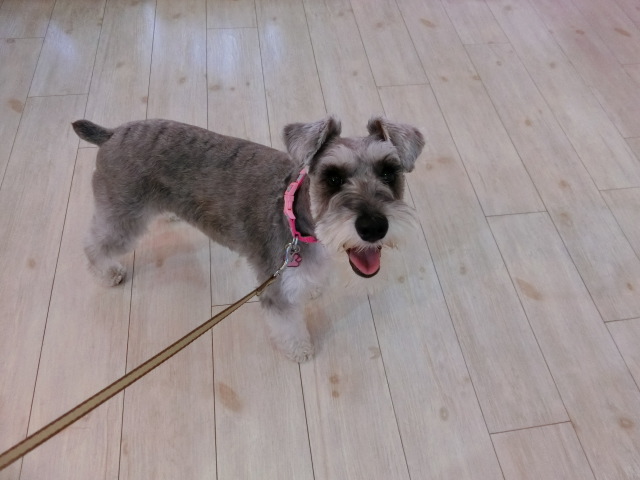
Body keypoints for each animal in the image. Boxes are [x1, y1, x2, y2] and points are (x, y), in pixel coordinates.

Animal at [72, 116, 424, 362]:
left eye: (389, 172)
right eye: (333, 177)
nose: (373, 227)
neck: (297, 218)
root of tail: (111, 133)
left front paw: (313, 289)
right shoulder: (275, 289)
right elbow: (287, 325)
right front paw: (298, 350)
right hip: (123, 216)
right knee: (94, 243)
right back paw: (107, 272)